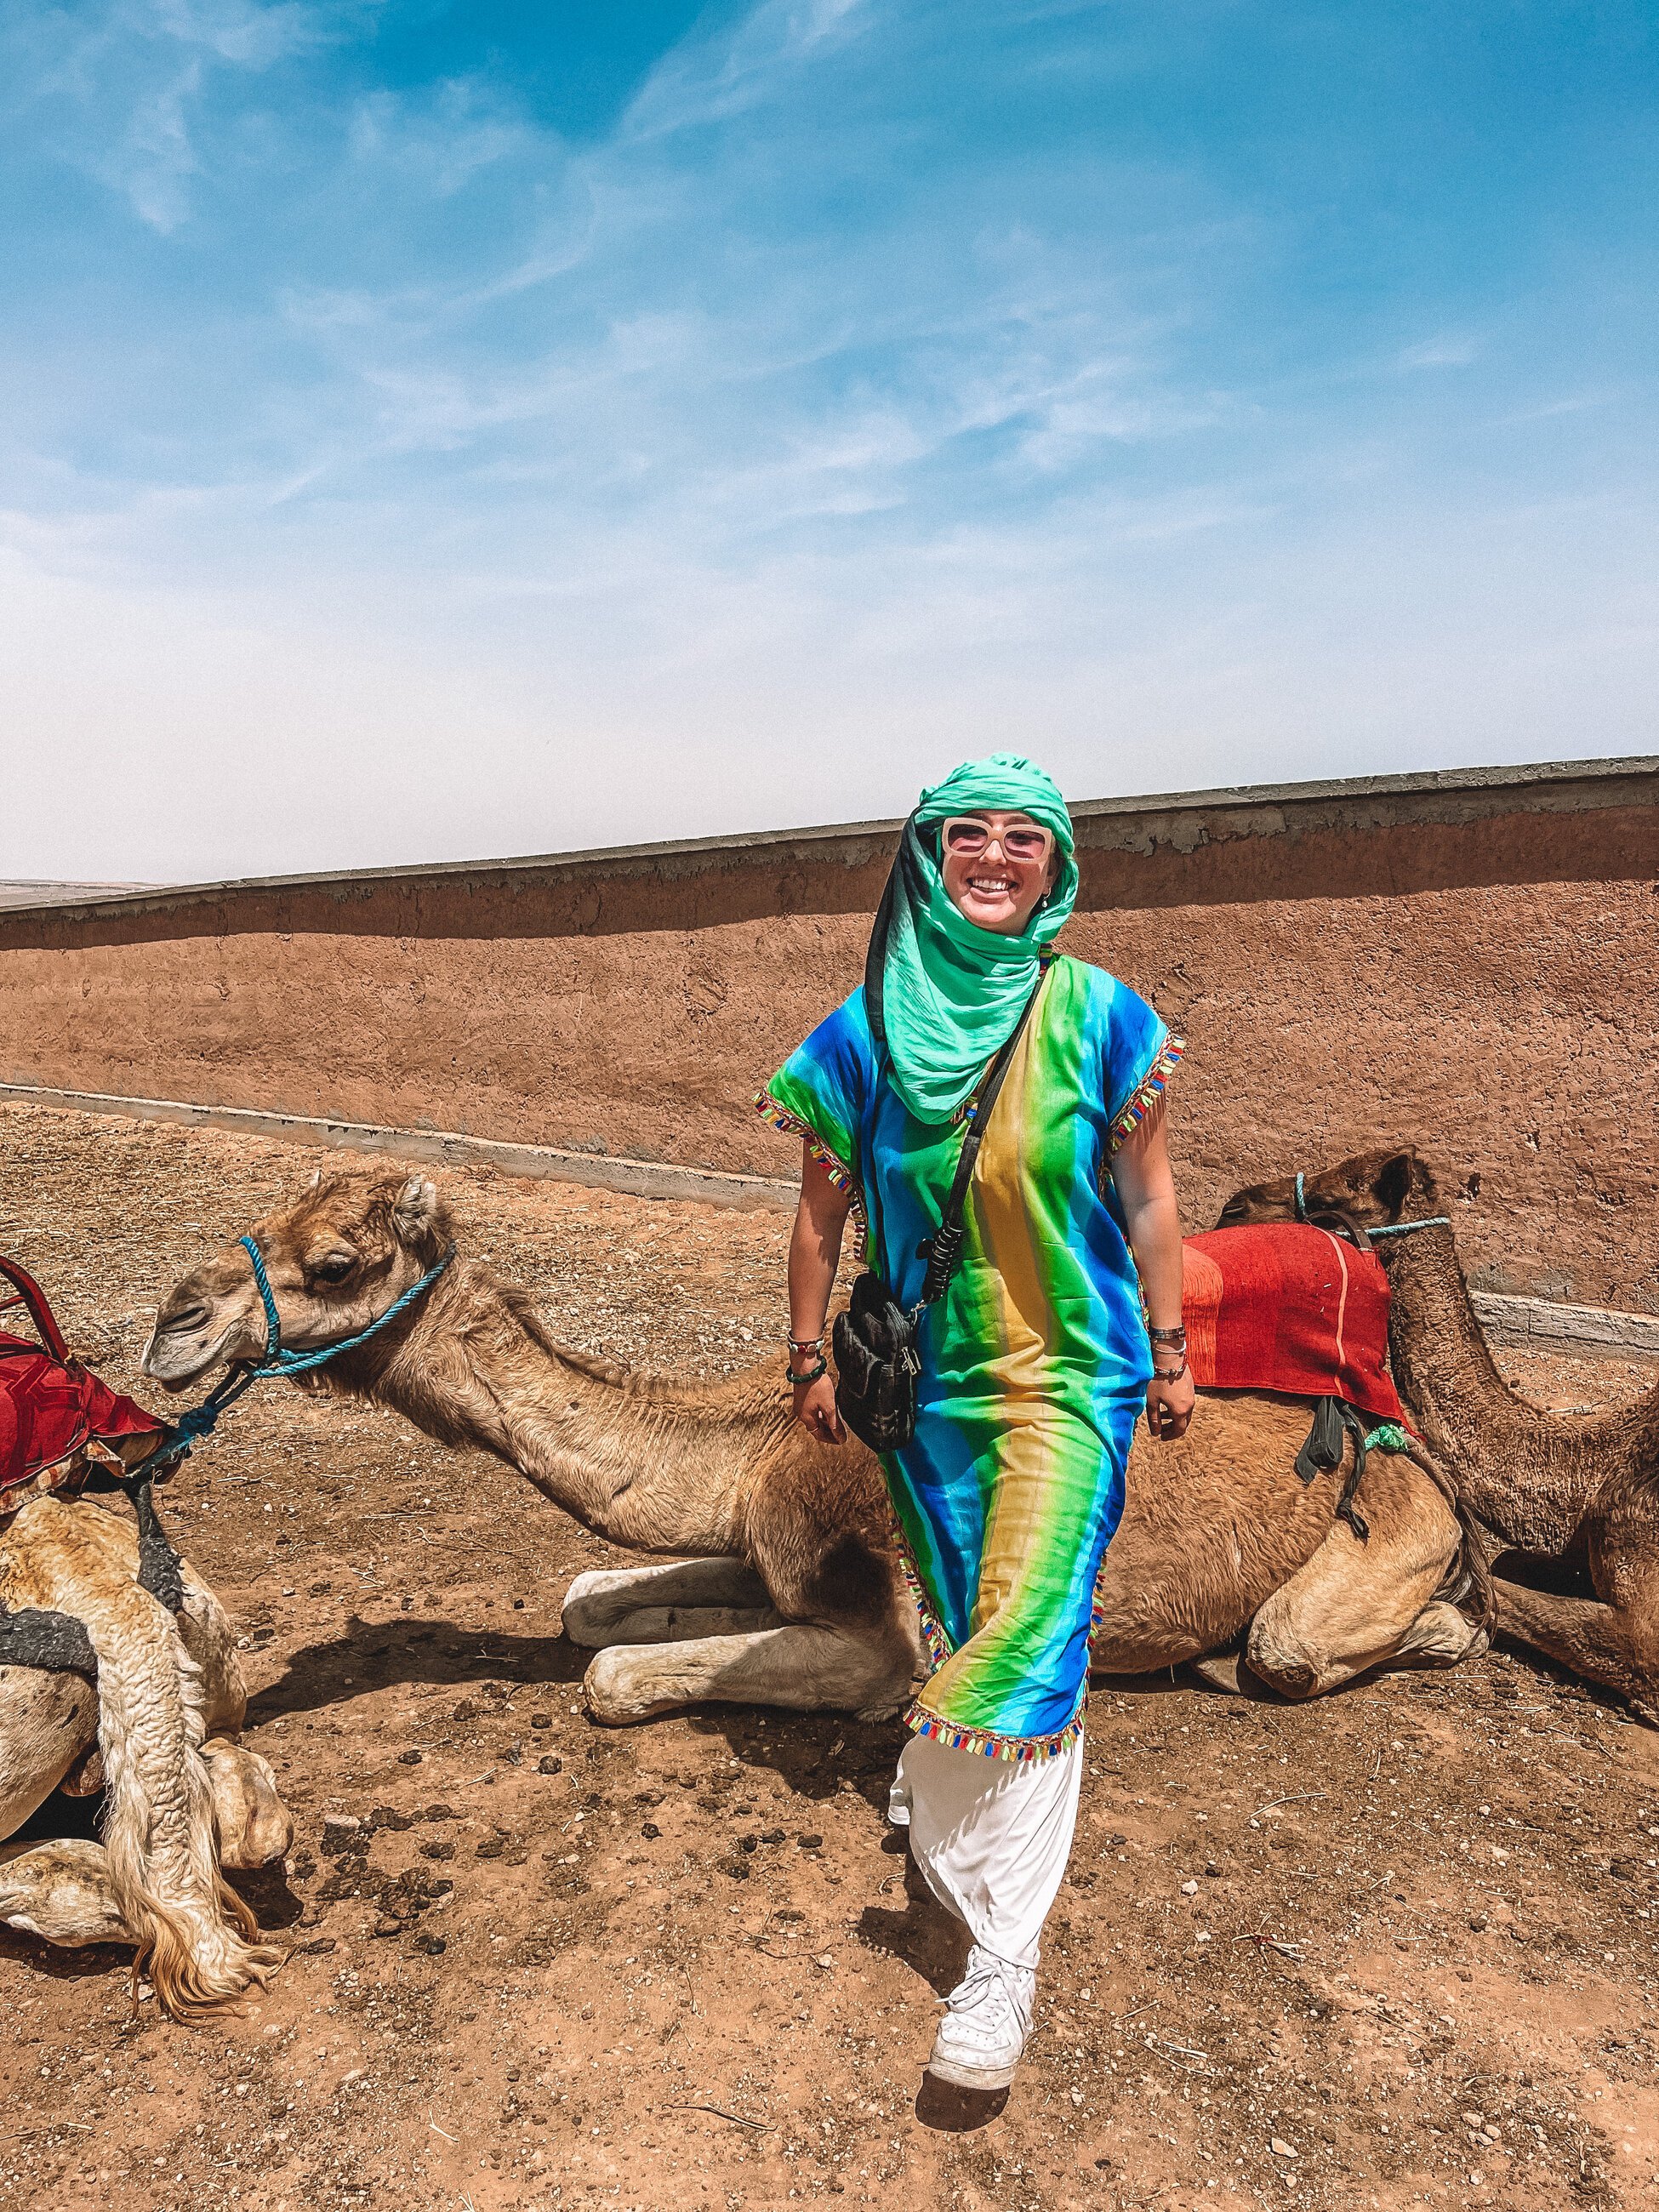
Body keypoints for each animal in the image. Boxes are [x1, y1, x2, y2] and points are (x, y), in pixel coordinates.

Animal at [142, 1167, 1495, 1716]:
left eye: (334, 1262)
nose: (173, 1322)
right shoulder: (768, 1541)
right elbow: (590, 1604)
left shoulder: (881, 1629)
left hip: (1384, 1528)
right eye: (276, 1215)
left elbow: (611, 1671)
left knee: (1296, 1643)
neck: (752, 1442)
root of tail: (1401, 1438)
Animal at [1211, 1159, 1659, 1725]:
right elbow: (1508, 1566)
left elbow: (1502, 1591)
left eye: (1332, 1198)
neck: (1599, 1460)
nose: (1233, 1207)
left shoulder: (1638, 1586)